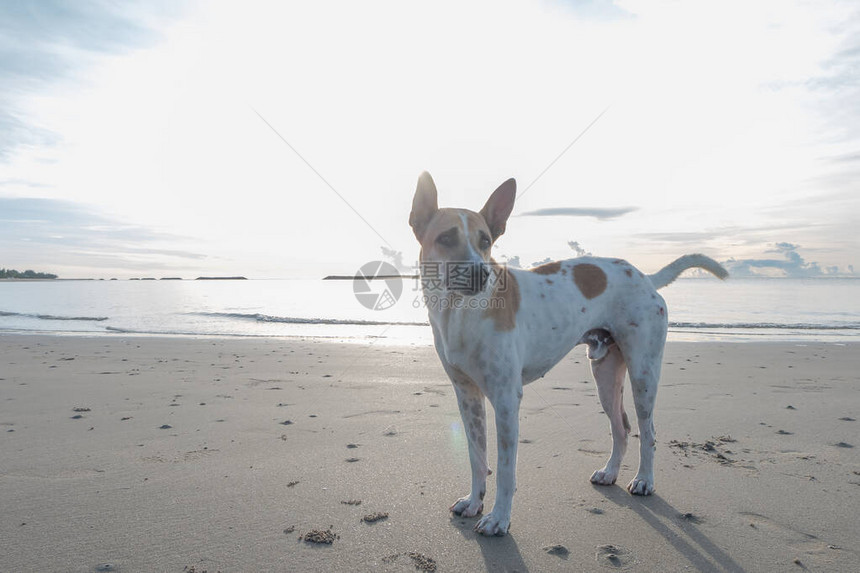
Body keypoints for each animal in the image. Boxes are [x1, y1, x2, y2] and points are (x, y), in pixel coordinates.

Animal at [410, 171, 724, 536]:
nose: (480, 274)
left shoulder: (506, 398)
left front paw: (499, 518)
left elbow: (505, 469)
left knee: (648, 432)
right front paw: (475, 502)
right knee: (621, 428)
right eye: (446, 237)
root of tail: (645, 277)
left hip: (643, 375)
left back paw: (644, 479)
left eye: (485, 241)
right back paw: (610, 472)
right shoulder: (467, 395)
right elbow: (477, 458)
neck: (460, 311)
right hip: (605, 376)